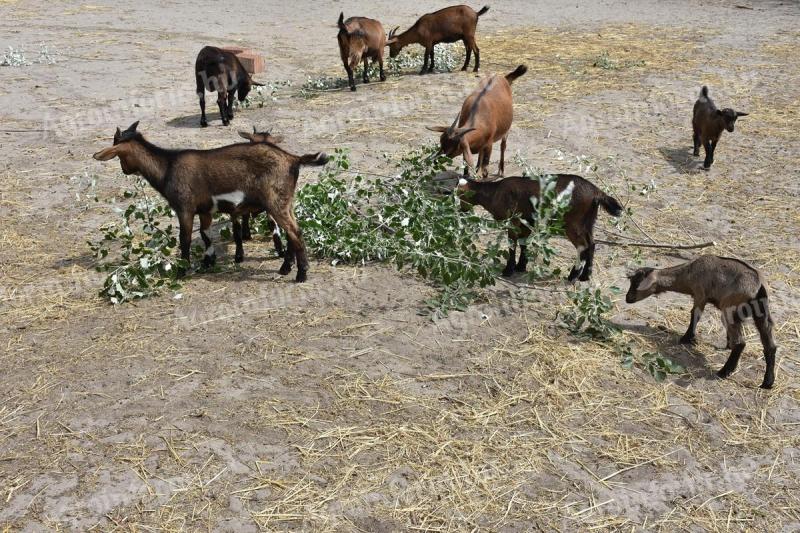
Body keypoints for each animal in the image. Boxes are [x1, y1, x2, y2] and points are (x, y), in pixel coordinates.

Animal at [94, 121, 328, 282]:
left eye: (117, 150)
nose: (125, 170)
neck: (167, 167)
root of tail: (293, 159)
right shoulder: (205, 210)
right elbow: (206, 235)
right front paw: (208, 260)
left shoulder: (184, 208)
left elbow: (185, 240)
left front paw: (182, 269)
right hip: (286, 202)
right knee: (292, 232)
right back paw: (285, 268)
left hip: (275, 203)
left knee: (295, 232)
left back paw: (301, 274)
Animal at [456, 174, 624, 282]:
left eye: (460, 195)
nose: (458, 211)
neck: (495, 192)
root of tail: (596, 192)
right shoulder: (526, 221)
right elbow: (523, 243)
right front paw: (521, 266)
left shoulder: (513, 221)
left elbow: (512, 245)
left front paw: (508, 270)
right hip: (588, 222)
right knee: (592, 244)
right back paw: (585, 276)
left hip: (571, 223)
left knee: (582, 245)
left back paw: (573, 275)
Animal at [628, 254, 780, 386]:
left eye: (636, 283)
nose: (627, 299)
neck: (689, 272)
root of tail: (759, 287)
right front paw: (727, 344)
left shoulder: (700, 294)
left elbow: (695, 315)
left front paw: (686, 338)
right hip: (761, 315)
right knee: (770, 346)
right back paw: (767, 383)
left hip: (730, 310)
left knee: (740, 343)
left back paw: (724, 372)